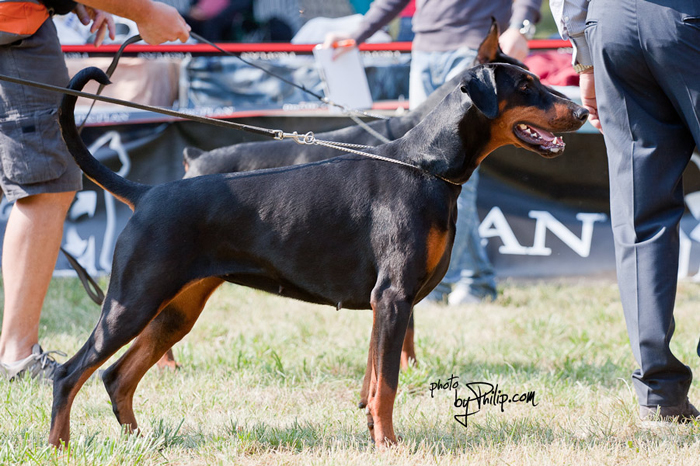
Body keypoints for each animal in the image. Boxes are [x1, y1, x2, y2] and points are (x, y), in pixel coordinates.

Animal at [49, 63, 587, 448]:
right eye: (527, 85)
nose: (583, 113)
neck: (424, 167)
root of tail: (145, 193)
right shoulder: (393, 297)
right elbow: (388, 385)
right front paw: (390, 446)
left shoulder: (384, 305)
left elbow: (374, 381)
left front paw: (374, 436)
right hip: (132, 301)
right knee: (70, 372)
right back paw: (59, 446)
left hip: (175, 310)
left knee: (117, 377)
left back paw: (141, 442)